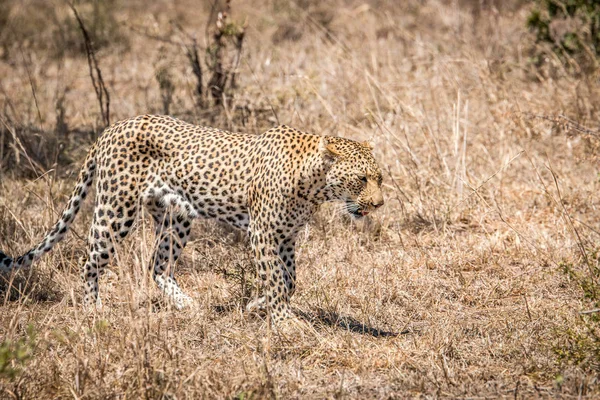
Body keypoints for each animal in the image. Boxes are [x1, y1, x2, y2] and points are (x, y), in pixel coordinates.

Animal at [0, 114, 384, 324]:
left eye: (380, 177)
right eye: (361, 179)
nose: (379, 204)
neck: (314, 186)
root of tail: (112, 127)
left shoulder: (286, 236)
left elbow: (288, 281)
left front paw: (256, 306)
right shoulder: (263, 232)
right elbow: (276, 280)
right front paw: (284, 322)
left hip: (176, 216)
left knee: (157, 266)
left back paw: (187, 305)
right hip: (116, 208)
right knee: (90, 259)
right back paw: (94, 309)